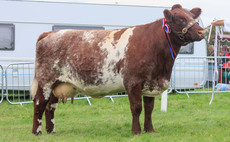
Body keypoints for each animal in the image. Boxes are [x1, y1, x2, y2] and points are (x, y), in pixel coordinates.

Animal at [30, 3, 205, 135]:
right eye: (180, 18)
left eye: (192, 16)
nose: (201, 31)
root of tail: (49, 33)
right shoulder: (133, 82)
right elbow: (137, 108)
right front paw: (136, 131)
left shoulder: (151, 83)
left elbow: (149, 109)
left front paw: (150, 130)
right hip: (46, 81)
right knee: (39, 102)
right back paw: (37, 132)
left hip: (57, 83)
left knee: (50, 107)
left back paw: (51, 131)